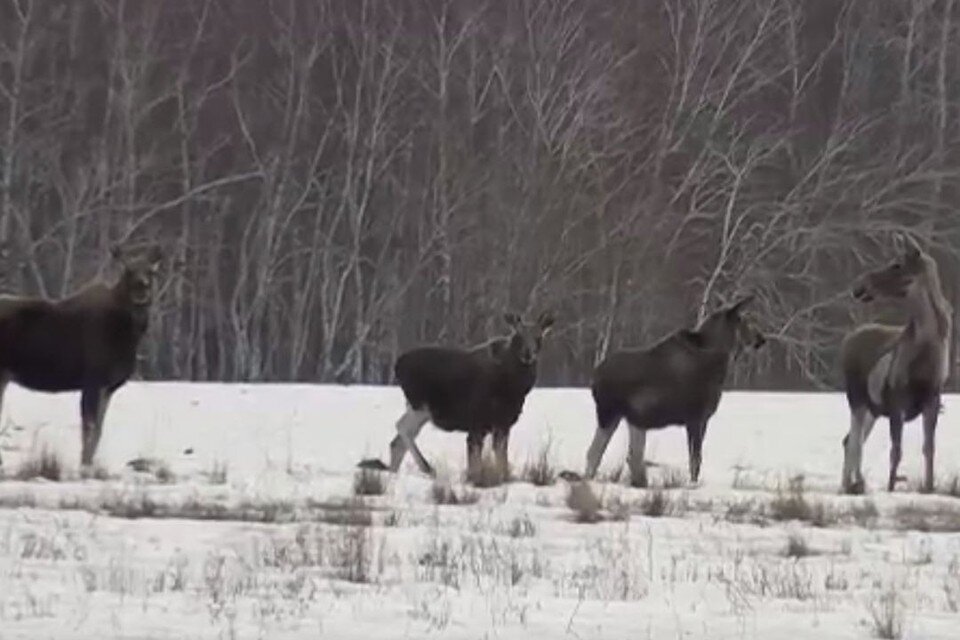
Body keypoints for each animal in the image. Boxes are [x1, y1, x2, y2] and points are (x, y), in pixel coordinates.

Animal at [0, 245, 161, 470]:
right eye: (128, 271)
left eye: (151, 272)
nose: (141, 288)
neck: (129, 336)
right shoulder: (93, 380)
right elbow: (89, 428)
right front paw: (84, 466)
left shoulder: (108, 387)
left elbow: (99, 430)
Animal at [360, 312, 556, 484]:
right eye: (518, 335)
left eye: (539, 336)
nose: (528, 354)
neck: (514, 387)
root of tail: (397, 365)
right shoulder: (478, 423)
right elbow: (476, 459)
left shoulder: (503, 424)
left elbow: (501, 459)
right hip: (421, 406)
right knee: (402, 428)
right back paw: (427, 467)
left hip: (419, 409)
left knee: (396, 442)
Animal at [568, 298, 764, 488]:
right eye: (743, 320)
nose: (761, 339)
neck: (719, 361)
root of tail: (595, 375)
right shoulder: (696, 417)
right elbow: (695, 459)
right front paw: (693, 485)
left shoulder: (699, 419)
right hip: (609, 412)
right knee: (597, 451)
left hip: (632, 419)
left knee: (630, 455)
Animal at [840, 236, 952, 496]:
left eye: (896, 264)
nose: (859, 287)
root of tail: (848, 339)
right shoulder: (896, 400)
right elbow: (896, 451)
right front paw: (891, 489)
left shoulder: (932, 399)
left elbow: (929, 448)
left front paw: (929, 488)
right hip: (857, 398)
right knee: (855, 442)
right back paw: (854, 484)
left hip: (872, 409)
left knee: (850, 439)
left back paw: (850, 484)